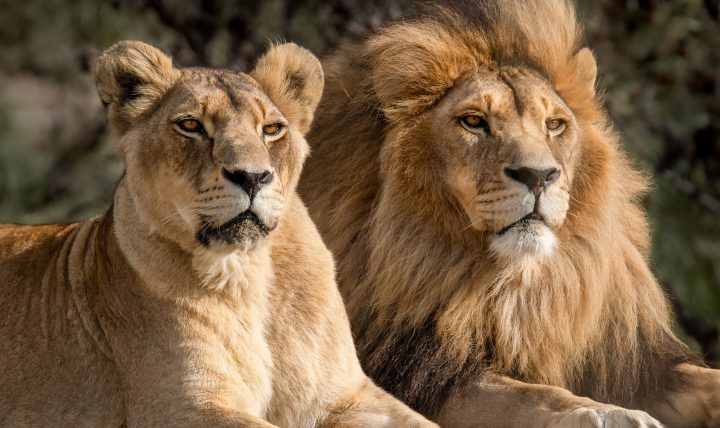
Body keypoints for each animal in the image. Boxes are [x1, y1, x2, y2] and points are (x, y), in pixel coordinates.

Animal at [0, 41, 434, 428]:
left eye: (272, 129)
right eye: (191, 125)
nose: (253, 177)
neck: (248, 271)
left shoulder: (342, 395)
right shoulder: (183, 406)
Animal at [298, 1, 720, 426]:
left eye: (554, 125)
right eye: (473, 121)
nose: (538, 176)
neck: (517, 285)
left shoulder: (633, 364)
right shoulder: (419, 370)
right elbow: (528, 395)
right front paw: (609, 413)